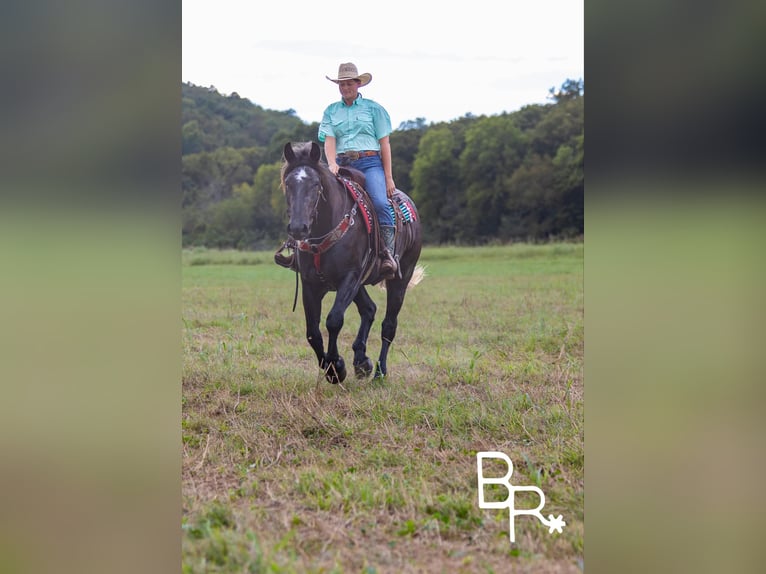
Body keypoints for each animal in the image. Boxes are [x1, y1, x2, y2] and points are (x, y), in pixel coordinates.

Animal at [278, 141, 423, 384]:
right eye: (288, 183)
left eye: (316, 184)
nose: (298, 228)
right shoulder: (311, 284)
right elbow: (312, 332)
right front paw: (333, 367)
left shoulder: (349, 278)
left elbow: (334, 320)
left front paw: (336, 368)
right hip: (359, 284)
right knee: (369, 309)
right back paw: (361, 361)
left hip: (400, 279)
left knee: (388, 325)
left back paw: (380, 371)